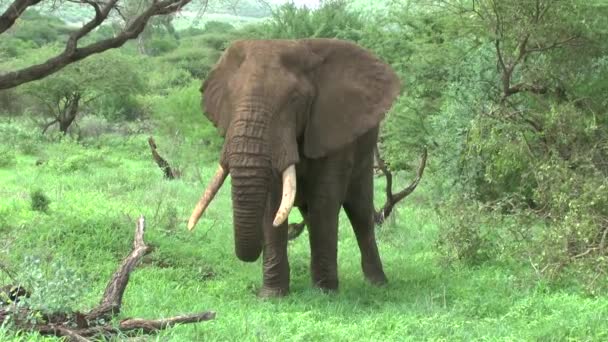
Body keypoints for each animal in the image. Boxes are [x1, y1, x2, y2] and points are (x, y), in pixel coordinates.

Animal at [188, 38, 402, 296]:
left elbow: (325, 200)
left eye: (295, 100)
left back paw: (378, 284)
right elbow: (272, 202)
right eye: (230, 99)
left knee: (359, 212)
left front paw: (325, 293)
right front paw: (272, 296)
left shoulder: (332, 127)